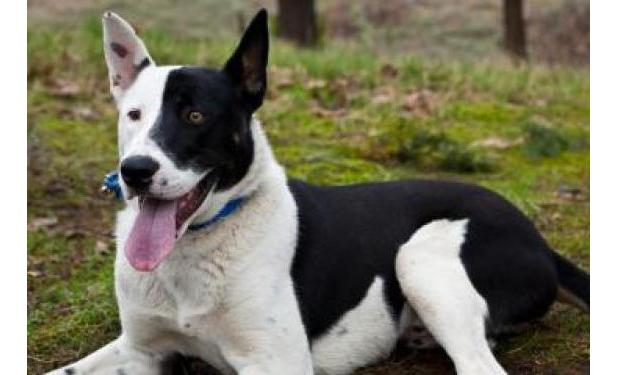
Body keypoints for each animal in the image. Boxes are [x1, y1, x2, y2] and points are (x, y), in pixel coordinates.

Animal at [48, 8, 588, 375]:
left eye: (195, 115)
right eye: (133, 115)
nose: (135, 171)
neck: (194, 249)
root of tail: (538, 237)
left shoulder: (276, 363)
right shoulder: (139, 349)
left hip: (420, 256)